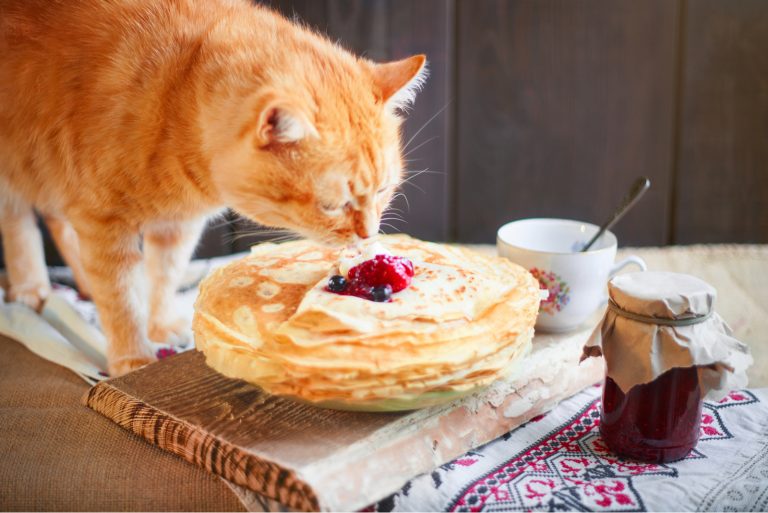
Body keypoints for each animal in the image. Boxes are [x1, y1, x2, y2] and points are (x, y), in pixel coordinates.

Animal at [0, 0, 426, 376]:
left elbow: (164, 275)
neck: (175, 95)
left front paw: (160, 324)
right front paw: (132, 356)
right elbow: (121, 297)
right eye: (332, 205)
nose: (369, 234)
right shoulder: (102, 223)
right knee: (21, 223)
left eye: (383, 190)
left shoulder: (177, 225)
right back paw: (31, 288)